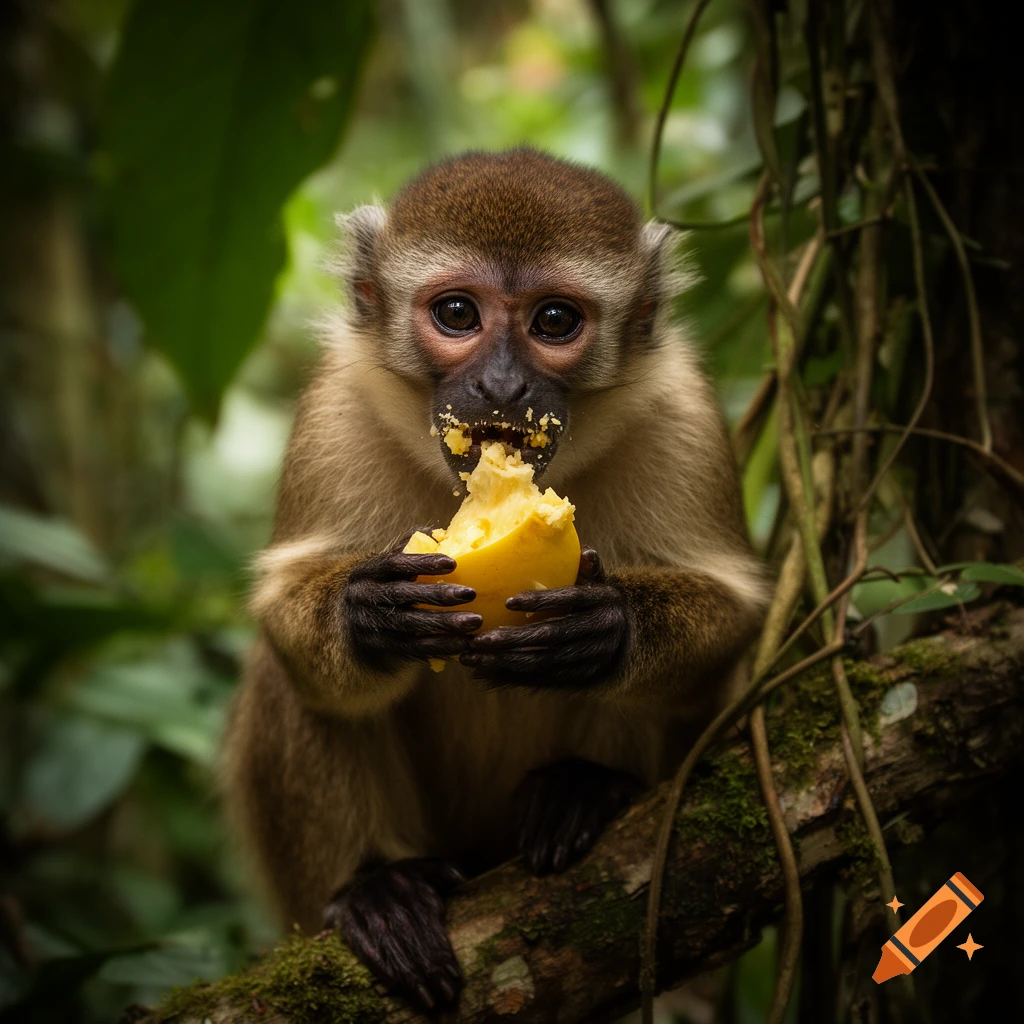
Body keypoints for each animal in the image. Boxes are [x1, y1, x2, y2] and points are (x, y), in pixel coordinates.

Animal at [221, 148, 769, 1013]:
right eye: (456, 314)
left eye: (554, 322)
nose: (504, 387)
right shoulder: (336, 405)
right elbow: (286, 606)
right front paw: (370, 616)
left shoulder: (680, 411)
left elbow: (732, 611)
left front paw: (604, 630)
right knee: (290, 680)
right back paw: (378, 889)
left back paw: (585, 789)